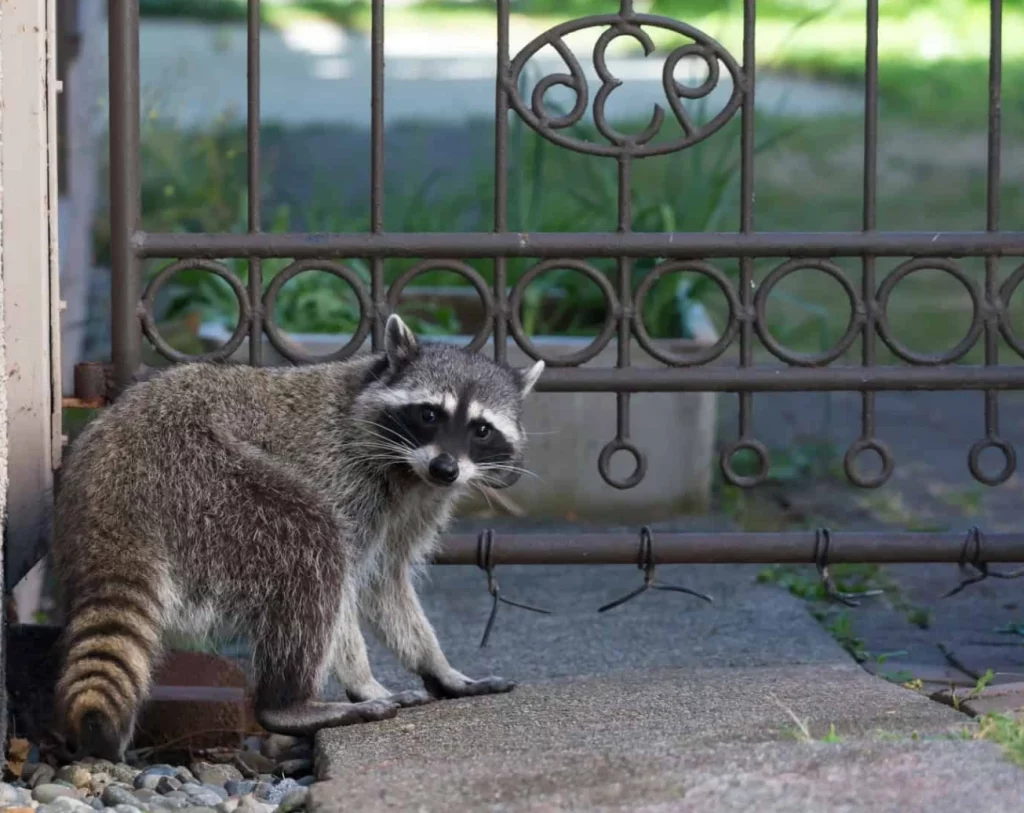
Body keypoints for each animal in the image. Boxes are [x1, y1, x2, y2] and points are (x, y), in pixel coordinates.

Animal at [52, 314, 544, 760]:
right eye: (428, 414)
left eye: (481, 429)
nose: (446, 468)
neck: (408, 469)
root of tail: (113, 483)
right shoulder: (341, 473)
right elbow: (346, 587)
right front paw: (363, 681)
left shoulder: (415, 506)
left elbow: (386, 583)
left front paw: (439, 667)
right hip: (204, 479)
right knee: (311, 543)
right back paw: (289, 703)